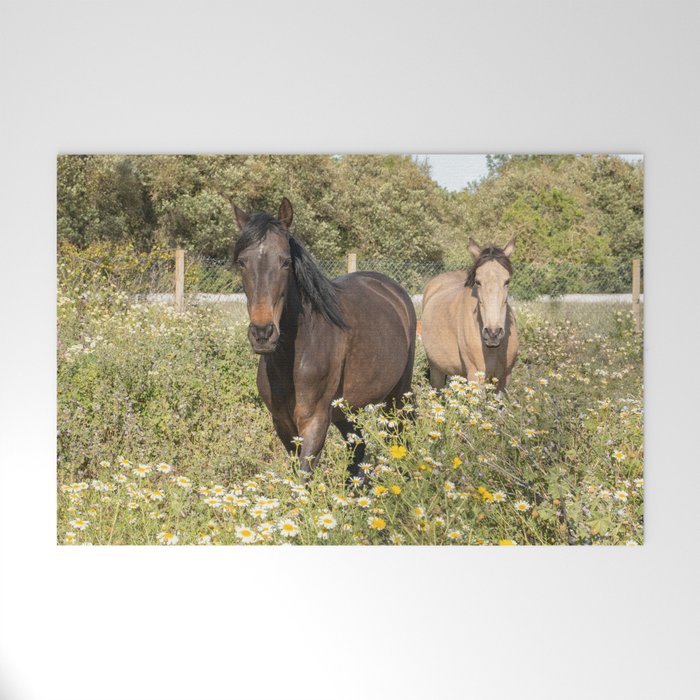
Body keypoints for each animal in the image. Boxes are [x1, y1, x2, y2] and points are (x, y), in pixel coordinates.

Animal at [231, 197, 416, 480]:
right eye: (242, 262)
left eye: (285, 262)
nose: (263, 333)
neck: (293, 355)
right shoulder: (283, 423)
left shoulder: (315, 421)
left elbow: (304, 477)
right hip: (345, 409)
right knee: (357, 447)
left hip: (397, 397)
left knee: (399, 439)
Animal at [420, 237, 519, 392]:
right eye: (478, 281)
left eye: (507, 281)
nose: (493, 333)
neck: (493, 349)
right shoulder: (476, 376)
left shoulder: (504, 379)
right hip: (436, 370)